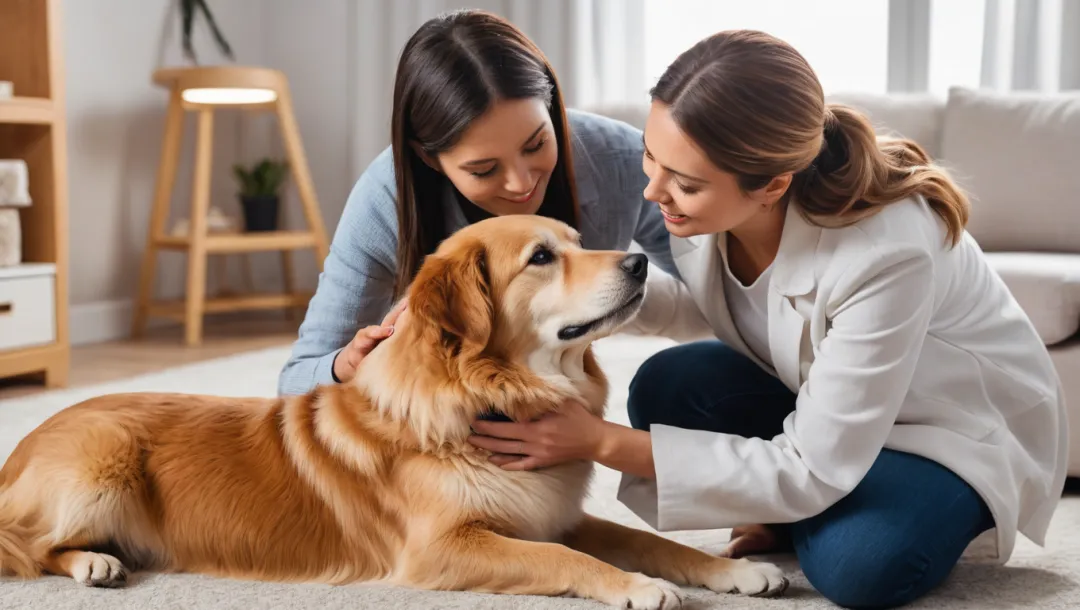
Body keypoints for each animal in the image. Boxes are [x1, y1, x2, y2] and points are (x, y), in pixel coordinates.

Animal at [0, 213, 786, 604]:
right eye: (541, 257)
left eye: (577, 242)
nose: (639, 263)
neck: (488, 394)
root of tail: (26, 441)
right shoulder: (444, 547)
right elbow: (566, 558)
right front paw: (637, 588)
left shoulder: (555, 512)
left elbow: (656, 541)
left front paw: (735, 573)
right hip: (101, 462)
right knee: (27, 545)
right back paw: (93, 563)